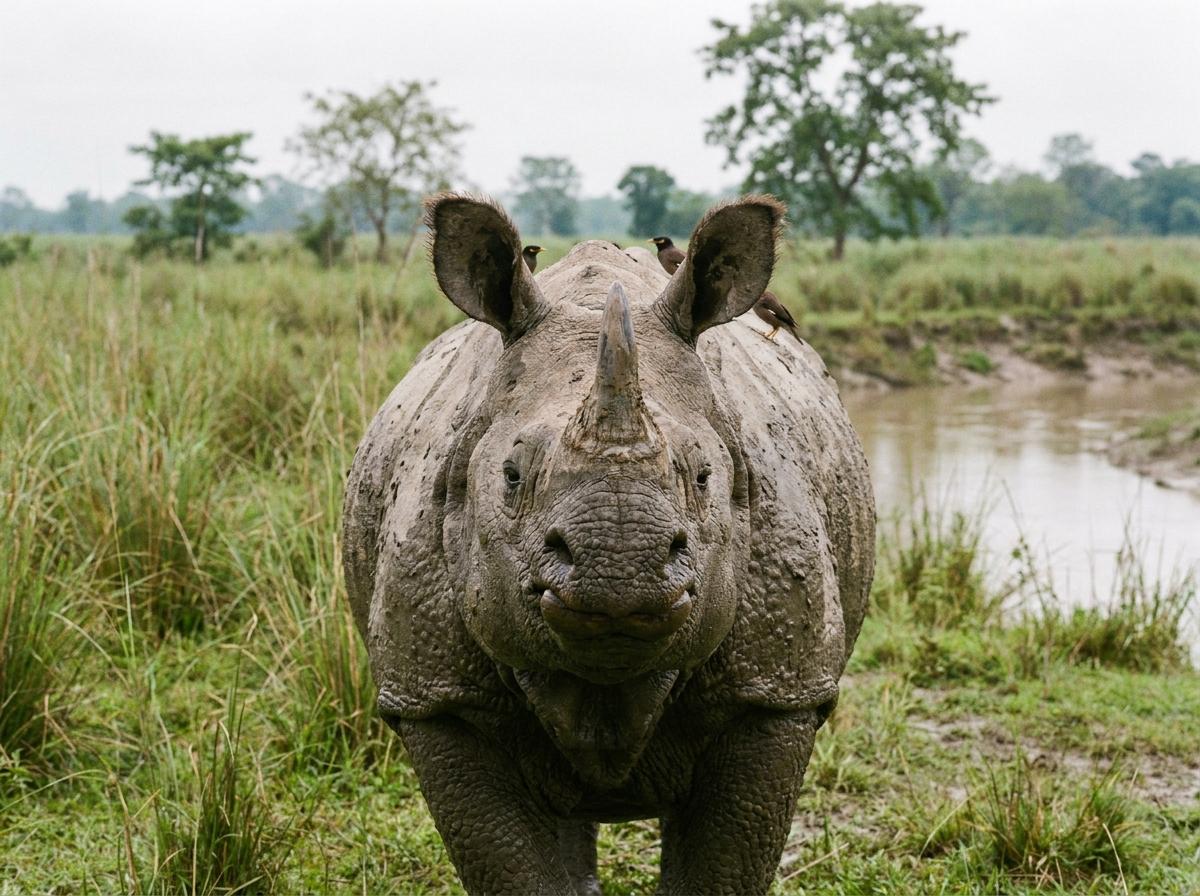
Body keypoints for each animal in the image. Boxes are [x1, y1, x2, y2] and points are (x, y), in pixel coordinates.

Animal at [342, 193, 874, 895]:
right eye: (511, 476)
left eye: (703, 476)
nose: (620, 566)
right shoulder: (436, 699)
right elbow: (511, 866)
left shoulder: (776, 692)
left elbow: (723, 866)